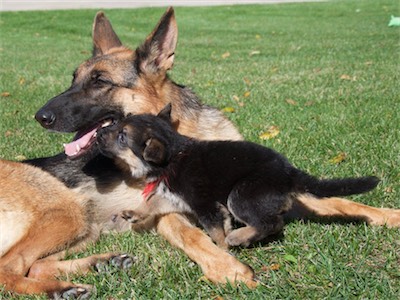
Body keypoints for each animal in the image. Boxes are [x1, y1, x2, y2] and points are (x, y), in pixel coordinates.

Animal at [0, 161, 134, 296]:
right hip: (71, 213)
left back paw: (104, 263)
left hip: (85, 224)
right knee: (9, 267)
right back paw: (62, 290)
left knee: (35, 267)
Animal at [98, 105, 380, 248]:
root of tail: (290, 173)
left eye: (122, 136)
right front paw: (135, 213)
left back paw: (240, 238)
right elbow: (153, 203)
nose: (98, 134)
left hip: (242, 195)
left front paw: (223, 250)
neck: (172, 156)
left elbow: (216, 233)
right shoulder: (174, 196)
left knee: (271, 223)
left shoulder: (205, 204)